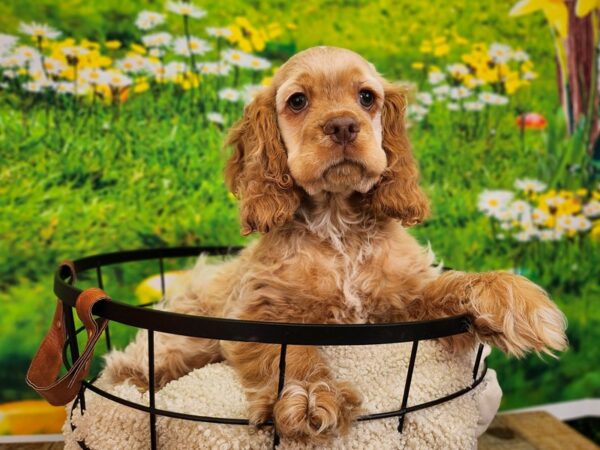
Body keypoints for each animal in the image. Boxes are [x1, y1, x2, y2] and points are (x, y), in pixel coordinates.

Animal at [105, 46, 568, 442]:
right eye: (297, 101)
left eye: (366, 97)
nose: (343, 125)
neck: (337, 225)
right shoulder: (257, 312)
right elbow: (291, 353)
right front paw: (311, 395)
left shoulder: (403, 304)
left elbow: (450, 286)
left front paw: (513, 299)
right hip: (189, 335)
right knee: (138, 360)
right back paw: (134, 384)